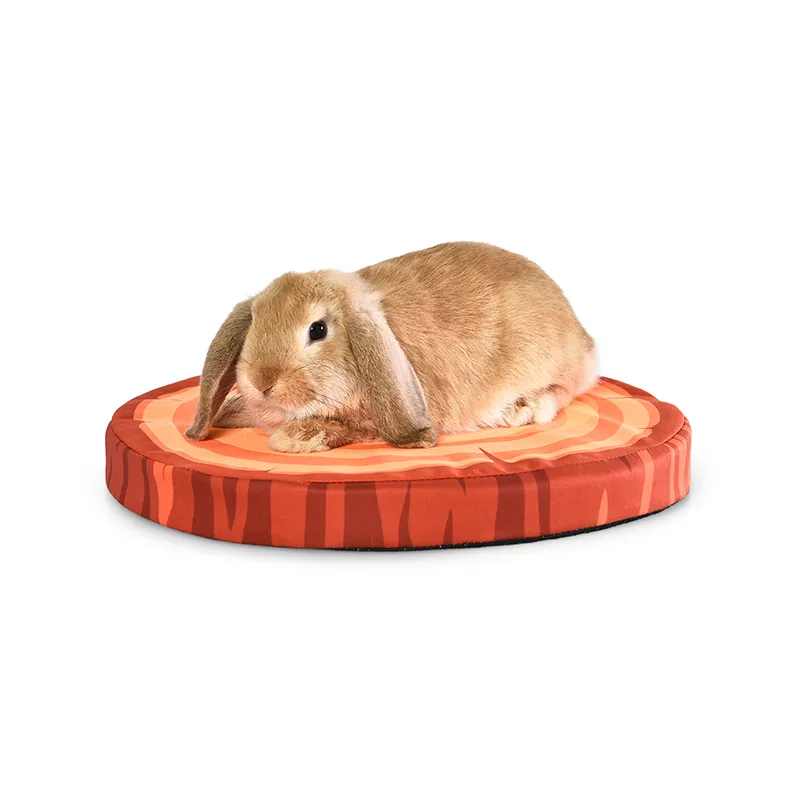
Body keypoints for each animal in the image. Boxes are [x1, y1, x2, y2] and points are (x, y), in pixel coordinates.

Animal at [185, 242, 596, 452]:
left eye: (317, 330)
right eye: (254, 320)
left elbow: (353, 428)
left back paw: (522, 409)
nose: (262, 382)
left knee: (562, 392)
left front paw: (296, 439)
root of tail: (582, 336)